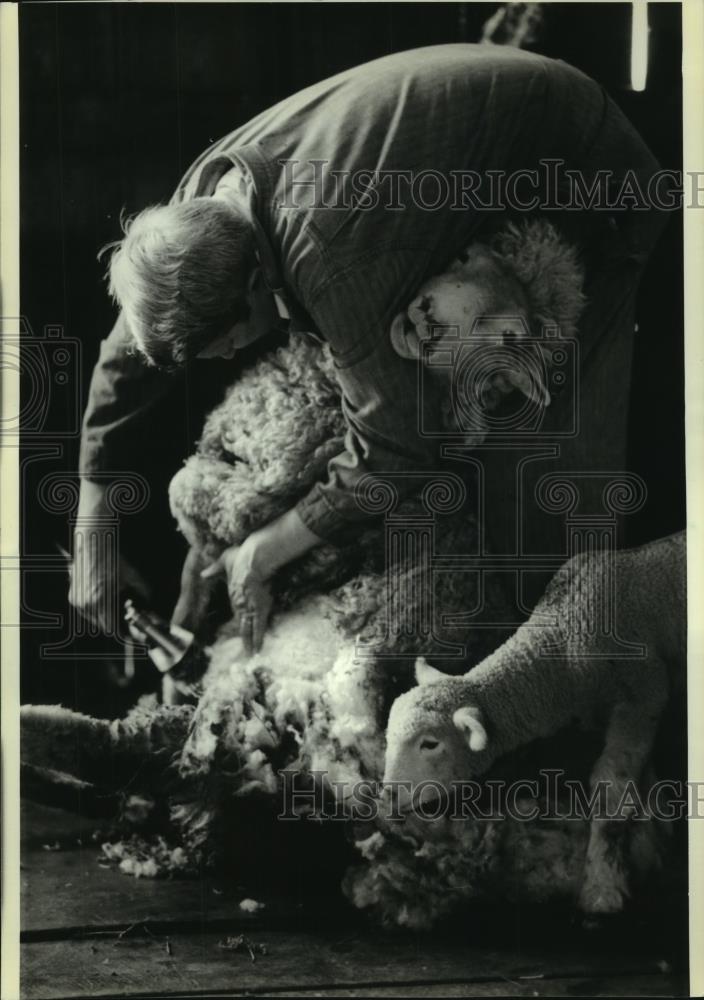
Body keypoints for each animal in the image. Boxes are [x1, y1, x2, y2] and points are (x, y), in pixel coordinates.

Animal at [384, 532, 688, 916]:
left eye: (430, 744)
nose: (386, 795)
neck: (561, 655)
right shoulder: (627, 712)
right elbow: (641, 781)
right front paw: (650, 847)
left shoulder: (642, 695)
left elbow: (612, 786)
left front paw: (602, 886)